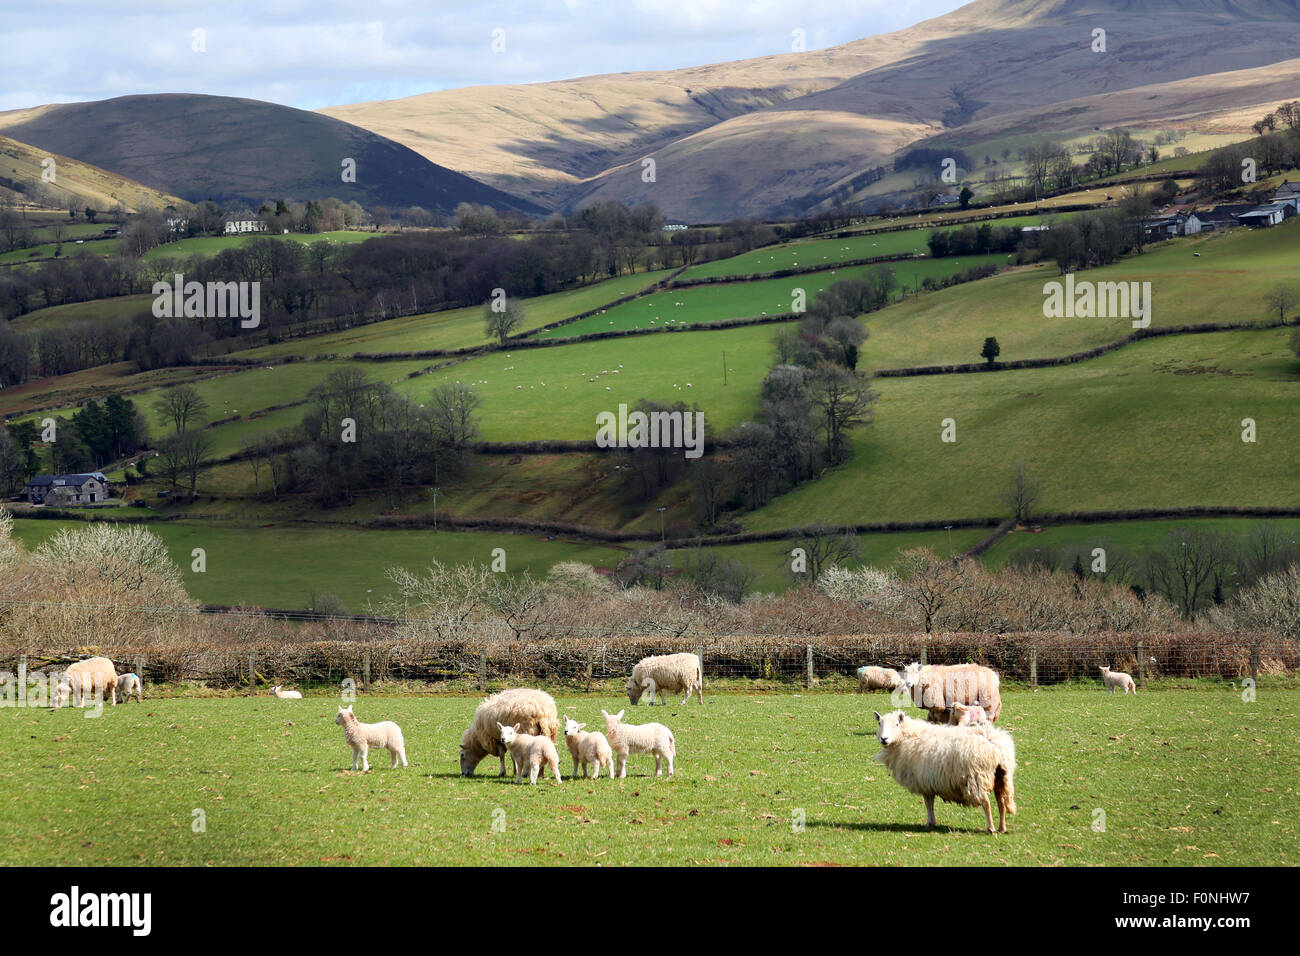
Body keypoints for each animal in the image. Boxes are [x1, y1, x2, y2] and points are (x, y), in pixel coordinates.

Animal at [873, 707, 1013, 832]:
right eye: (879, 723)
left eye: (896, 724)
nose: (884, 739)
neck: (907, 737)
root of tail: (993, 743)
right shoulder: (927, 782)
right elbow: (930, 804)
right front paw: (932, 823)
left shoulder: (923, 782)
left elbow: (928, 804)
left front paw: (929, 823)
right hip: (1002, 777)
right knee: (1001, 802)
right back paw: (1002, 828)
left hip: (976, 778)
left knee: (986, 803)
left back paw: (990, 828)